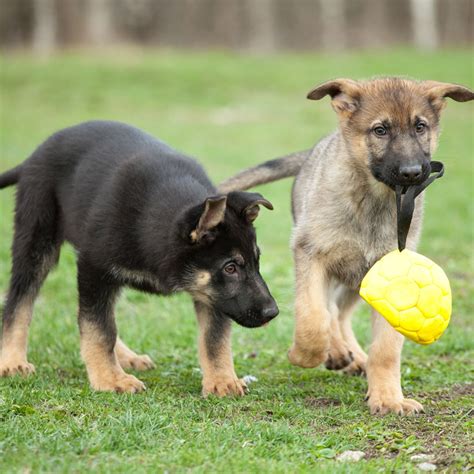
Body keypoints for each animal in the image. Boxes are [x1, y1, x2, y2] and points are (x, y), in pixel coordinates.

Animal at [0, 120, 278, 394]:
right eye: (231, 268)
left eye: (256, 261)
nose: (273, 313)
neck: (154, 223)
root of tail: (34, 156)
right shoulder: (93, 267)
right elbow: (99, 328)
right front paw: (110, 379)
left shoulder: (212, 294)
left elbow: (214, 337)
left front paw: (222, 380)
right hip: (37, 240)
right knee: (19, 300)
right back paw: (13, 360)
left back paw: (126, 357)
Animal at [219, 78, 474, 414]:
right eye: (380, 130)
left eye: (420, 127)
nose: (412, 172)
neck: (373, 198)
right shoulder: (311, 253)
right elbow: (313, 317)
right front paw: (304, 355)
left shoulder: (390, 277)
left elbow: (386, 347)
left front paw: (388, 397)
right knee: (329, 309)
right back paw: (337, 352)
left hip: (358, 280)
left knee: (340, 312)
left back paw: (352, 356)